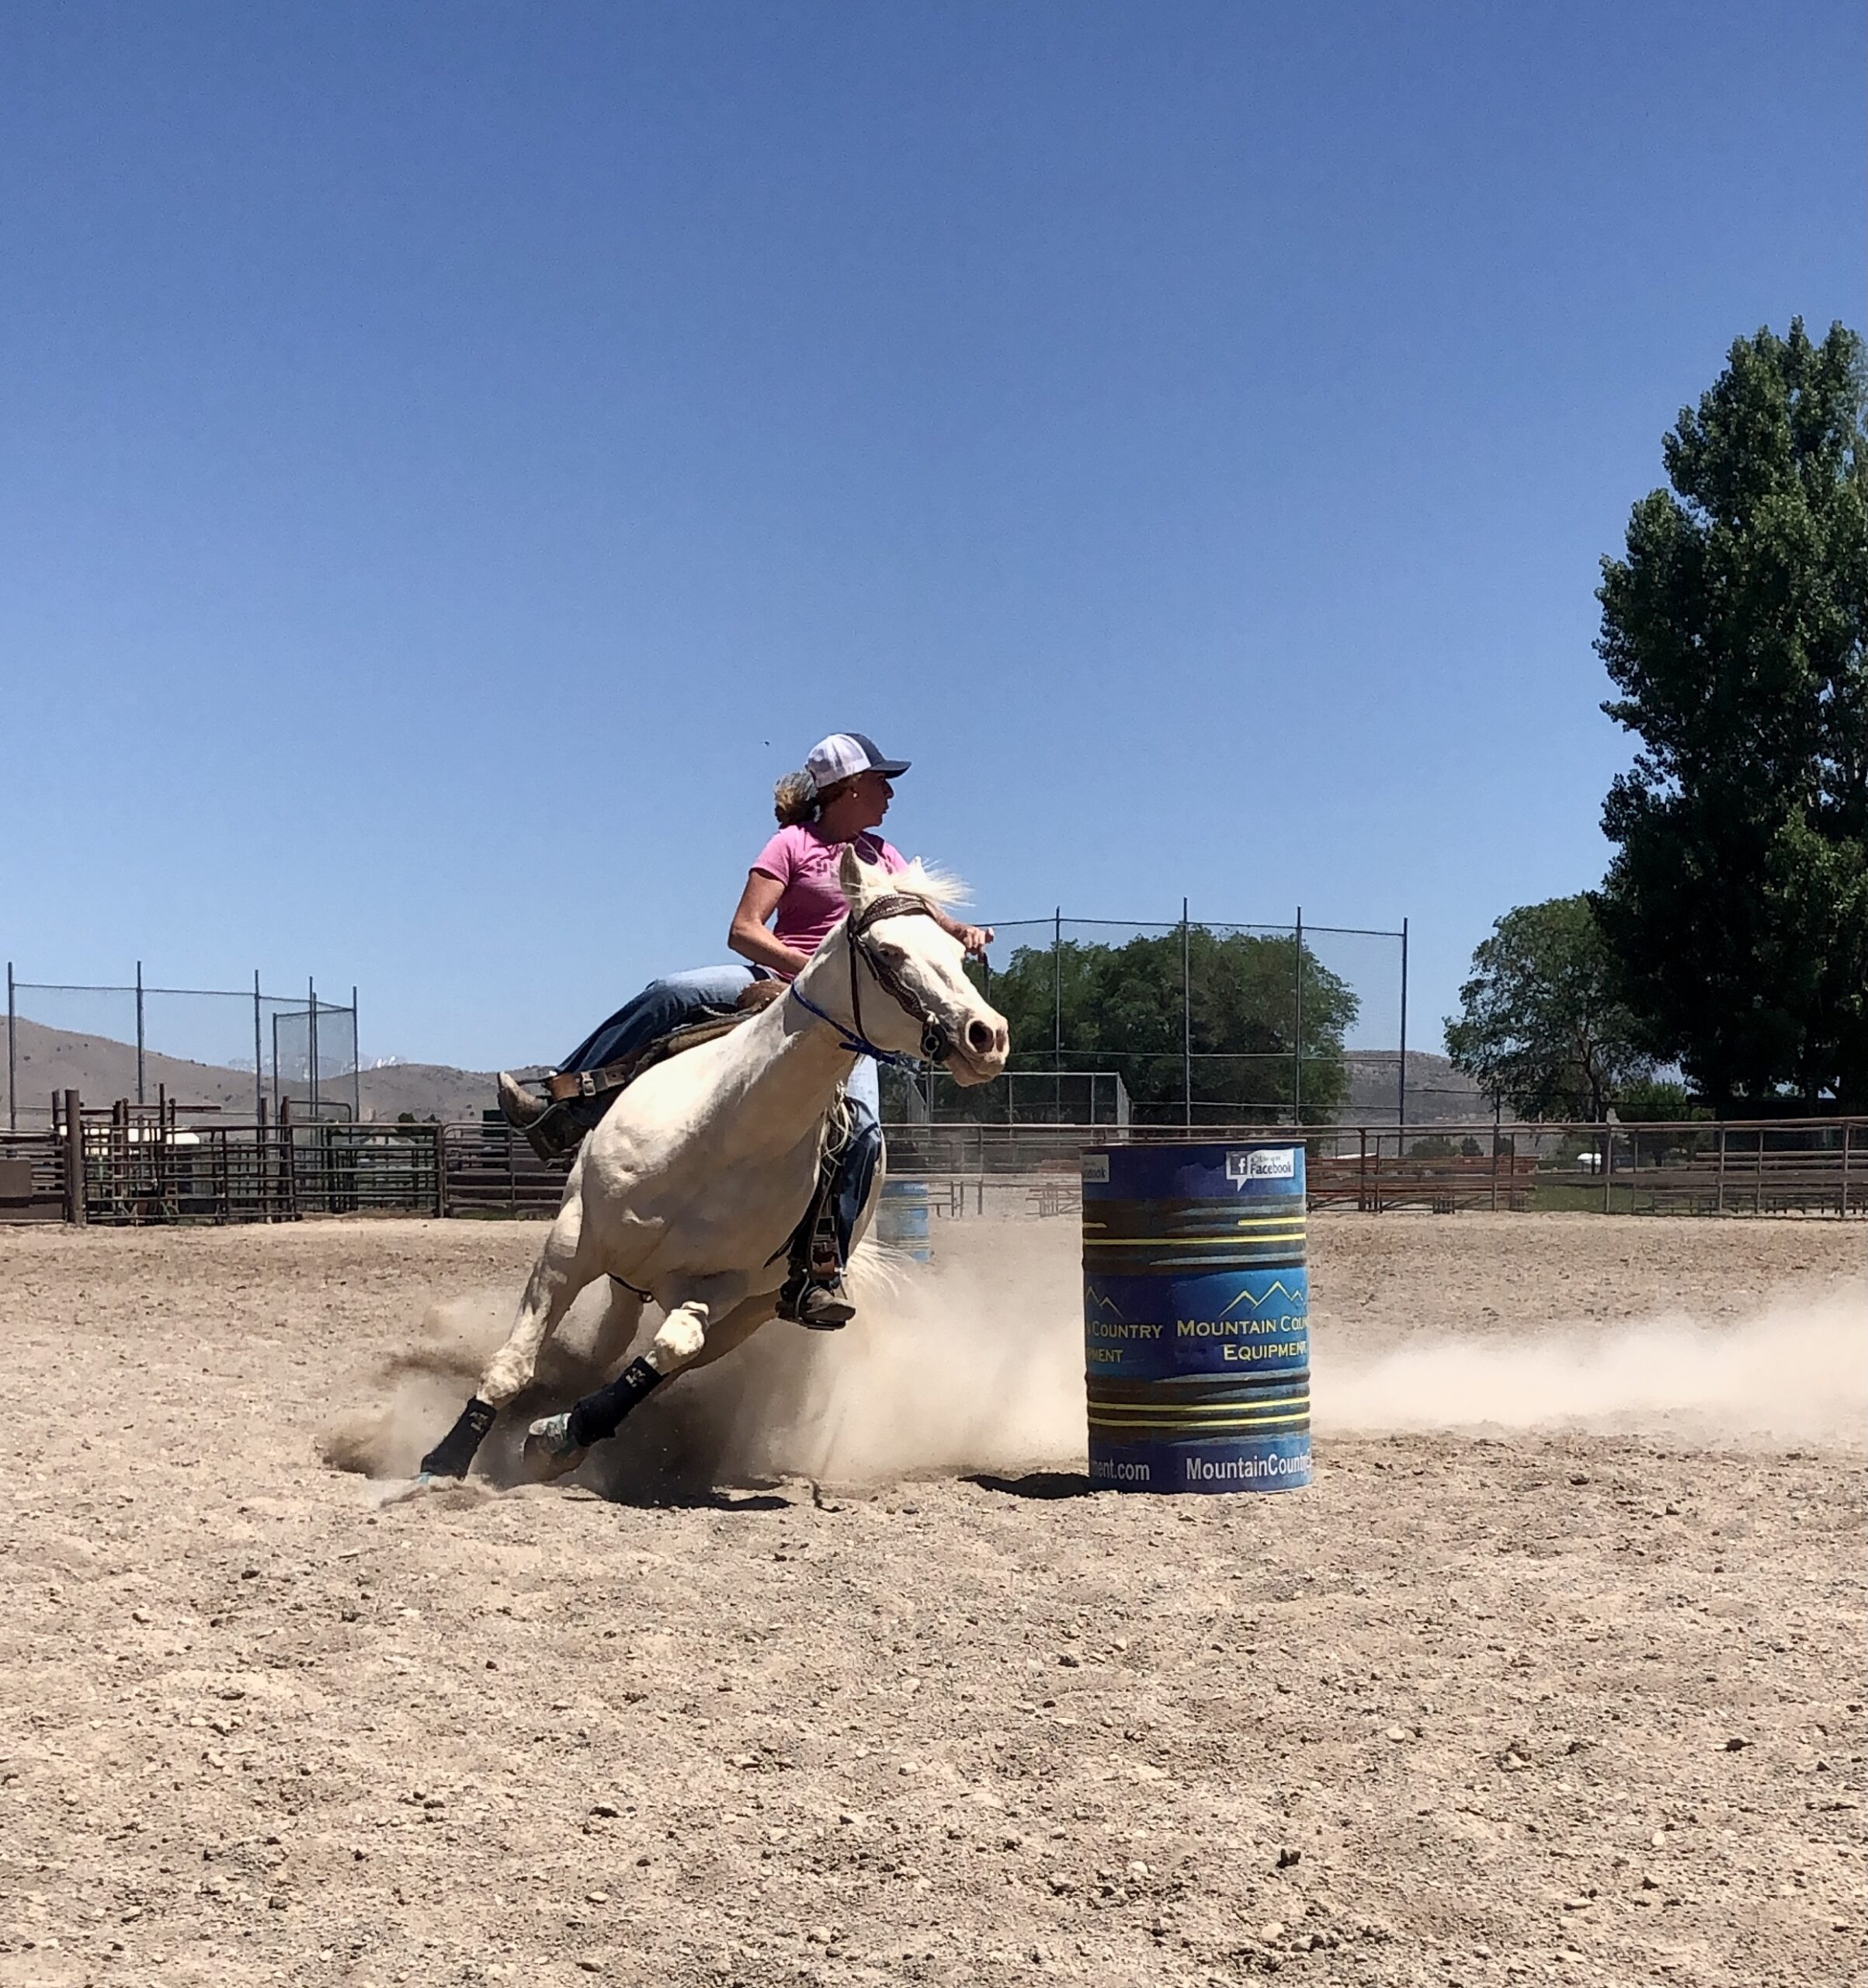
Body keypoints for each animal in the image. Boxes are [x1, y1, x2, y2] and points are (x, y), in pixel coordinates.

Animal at [417, 846, 1013, 1486]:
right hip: (626, 1270)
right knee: (608, 1342)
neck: (722, 1135)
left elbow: (669, 1353)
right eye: (888, 951)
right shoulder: (572, 1242)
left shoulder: (723, 1288)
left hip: (744, 1313)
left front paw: (555, 1436)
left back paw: (567, 1430)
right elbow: (513, 1363)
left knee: (656, 1365)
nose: (988, 1036)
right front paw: (443, 1461)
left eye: (956, 952)